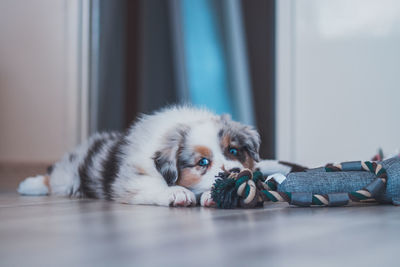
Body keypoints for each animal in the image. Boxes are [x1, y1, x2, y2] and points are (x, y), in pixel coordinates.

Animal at [17, 106, 266, 207]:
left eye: (233, 151)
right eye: (202, 162)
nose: (236, 173)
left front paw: (212, 195)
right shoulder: (131, 179)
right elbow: (154, 185)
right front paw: (177, 193)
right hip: (68, 176)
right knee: (53, 178)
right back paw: (29, 184)